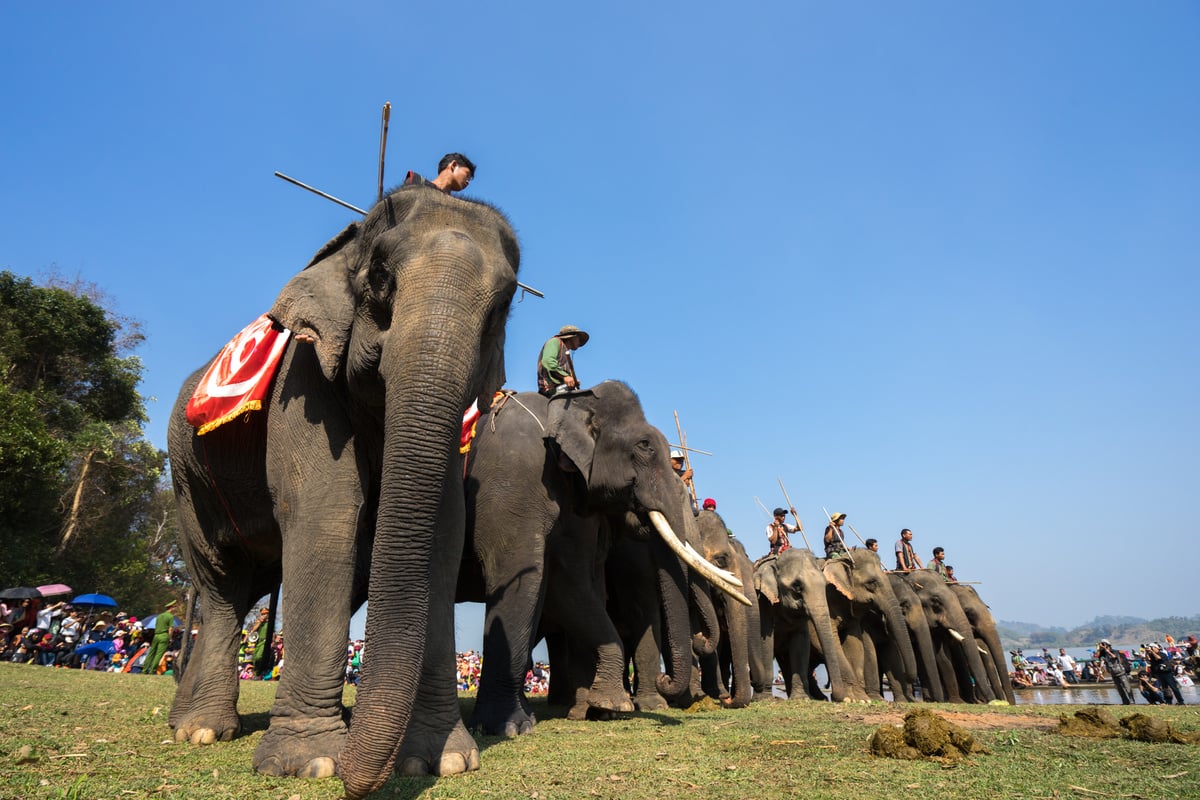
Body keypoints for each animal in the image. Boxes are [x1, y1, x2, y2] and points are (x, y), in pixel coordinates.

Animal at [165, 185, 520, 796]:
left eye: (503, 305)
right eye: (379, 277)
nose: (360, 782)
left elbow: (443, 537)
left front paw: (439, 761)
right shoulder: (304, 386)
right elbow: (325, 517)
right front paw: (309, 763)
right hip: (188, 482)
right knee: (222, 585)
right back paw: (201, 731)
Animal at [456, 381, 744, 738]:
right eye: (644, 446)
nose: (665, 679)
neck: (563, 406)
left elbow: (568, 584)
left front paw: (602, 708)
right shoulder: (514, 479)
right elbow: (526, 576)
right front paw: (510, 728)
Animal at [753, 551, 849, 700]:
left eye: (825, 584)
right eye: (797, 586)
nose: (834, 696)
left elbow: (800, 643)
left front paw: (801, 698)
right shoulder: (763, 603)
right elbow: (765, 641)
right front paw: (763, 699)